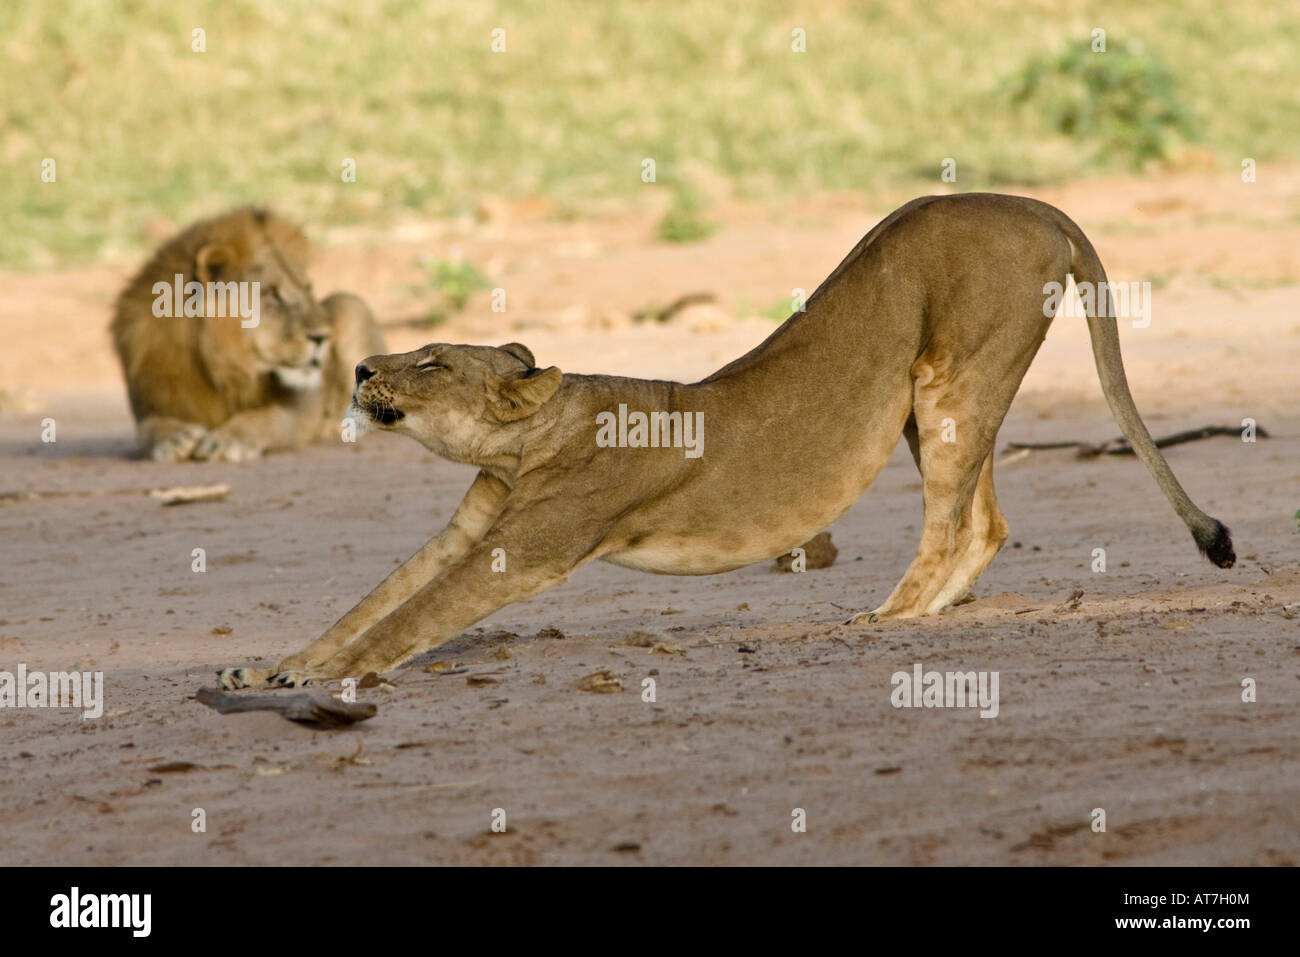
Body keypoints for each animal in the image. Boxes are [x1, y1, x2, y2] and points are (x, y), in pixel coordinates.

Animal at [111, 207, 385, 461]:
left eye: (308, 290)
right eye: (273, 294)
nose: (324, 337)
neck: (223, 369)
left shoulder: (294, 412)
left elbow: (263, 417)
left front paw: (229, 440)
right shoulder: (149, 405)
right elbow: (148, 429)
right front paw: (174, 438)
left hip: (350, 304)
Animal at [217, 193, 1233, 689]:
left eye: (429, 360)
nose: (358, 368)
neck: (529, 440)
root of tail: (1044, 208)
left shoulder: (528, 546)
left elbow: (408, 618)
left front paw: (311, 680)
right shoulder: (472, 527)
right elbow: (373, 601)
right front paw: (276, 663)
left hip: (950, 378)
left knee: (954, 517)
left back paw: (889, 617)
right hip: (935, 399)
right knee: (987, 518)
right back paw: (926, 610)